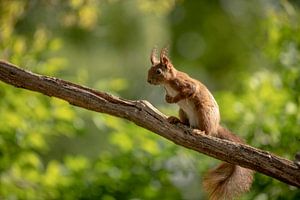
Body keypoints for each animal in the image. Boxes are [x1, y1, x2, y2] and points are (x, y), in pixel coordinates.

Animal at [148, 47, 253, 199]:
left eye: (158, 71)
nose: (148, 80)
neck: (167, 83)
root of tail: (215, 126)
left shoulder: (185, 83)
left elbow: (190, 90)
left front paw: (174, 99)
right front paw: (167, 98)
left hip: (203, 112)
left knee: (207, 132)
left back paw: (200, 131)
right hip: (183, 111)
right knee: (186, 123)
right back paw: (176, 120)